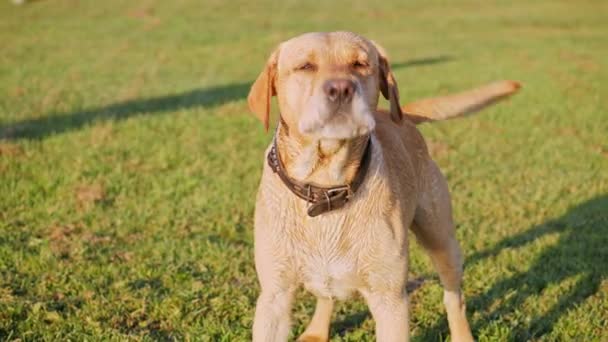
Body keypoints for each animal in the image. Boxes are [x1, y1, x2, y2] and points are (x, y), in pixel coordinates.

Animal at [249, 30, 520, 340]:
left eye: (360, 64)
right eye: (305, 66)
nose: (341, 89)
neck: (326, 187)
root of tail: (400, 116)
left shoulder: (390, 299)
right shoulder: (274, 296)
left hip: (441, 240)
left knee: (455, 298)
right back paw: (317, 331)